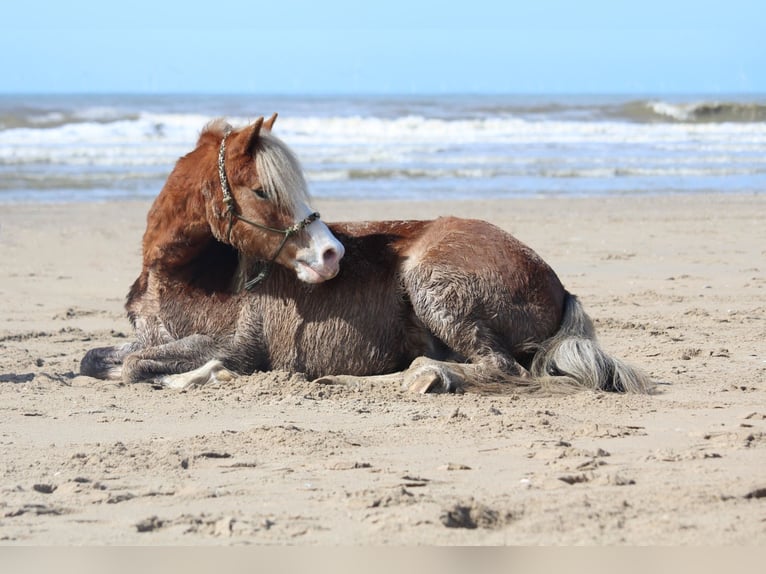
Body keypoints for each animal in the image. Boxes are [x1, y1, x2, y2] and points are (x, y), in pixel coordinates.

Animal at [80, 115, 652, 394]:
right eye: (262, 191)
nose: (332, 254)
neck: (189, 278)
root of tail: (558, 285)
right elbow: (98, 359)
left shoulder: (234, 344)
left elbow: (138, 366)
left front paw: (199, 376)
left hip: (433, 288)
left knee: (500, 368)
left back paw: (422, 378)